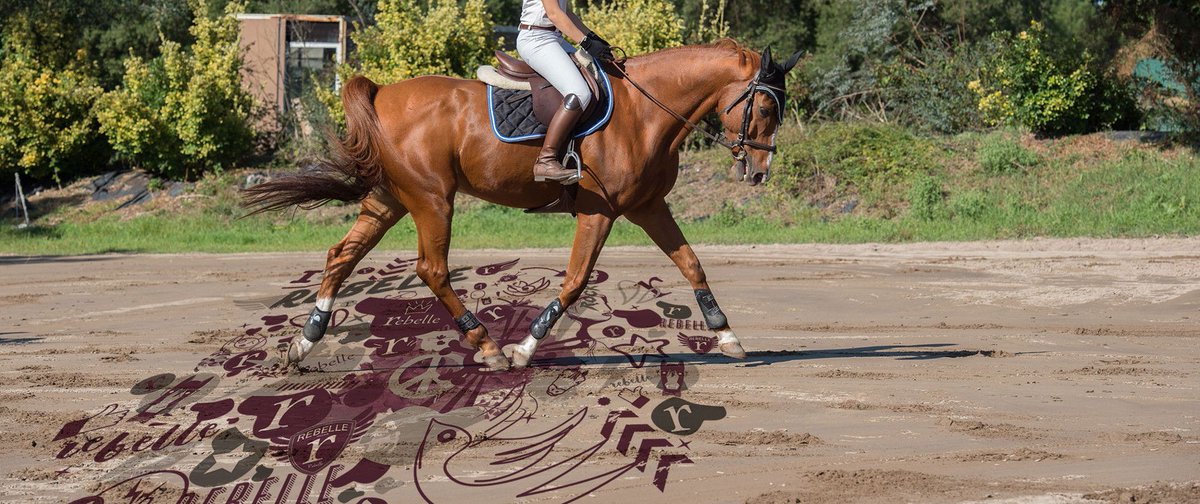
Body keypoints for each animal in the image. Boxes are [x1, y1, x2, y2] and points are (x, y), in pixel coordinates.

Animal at [243, 39, 802, 371]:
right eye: (766, 105)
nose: (758, 172)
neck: (645, 111)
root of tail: (381, 94)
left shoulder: (647, 206)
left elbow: (691, 263)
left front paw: (726, 335)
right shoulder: (600, 212)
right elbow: (575, 281)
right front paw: (525, 348)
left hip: (390, 199)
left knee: (343, 255)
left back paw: (305, 341)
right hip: (431, 199)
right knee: (432, 269)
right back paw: (487, 345)